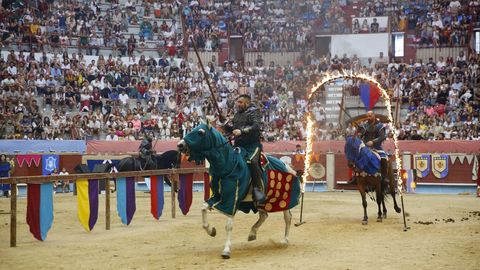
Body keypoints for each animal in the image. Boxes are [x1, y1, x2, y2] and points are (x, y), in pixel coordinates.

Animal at [178, 124, 302, 260]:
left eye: (200, 132)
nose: (180, 145)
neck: (228, 165)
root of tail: (286, 165)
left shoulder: (232, 199)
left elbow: (228, 225)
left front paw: (226, 250)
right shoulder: (218, 196)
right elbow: (204, 208)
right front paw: (211, 231)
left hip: (284, 200)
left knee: (287, 218)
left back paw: (284, 240)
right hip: (260, 201)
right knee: (264, 215)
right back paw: (252, 233)